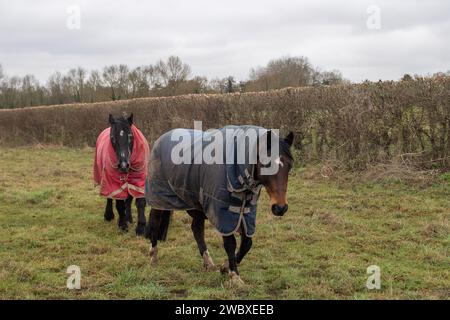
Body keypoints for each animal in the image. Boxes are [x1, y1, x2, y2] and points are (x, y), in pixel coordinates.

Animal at [142, 126, 294, 284]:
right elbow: (230, 243)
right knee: (154, 224)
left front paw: (225, 267)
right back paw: (153, 258)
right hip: (159, 198)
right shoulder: (222, 214)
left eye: (289, 165)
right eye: (267, 164)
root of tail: (162, 137)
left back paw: (208, 263)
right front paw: (234, 276)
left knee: (197, 230)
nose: (280, 208)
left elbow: (247, 243)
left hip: (195, 204)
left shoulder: (245, 211)